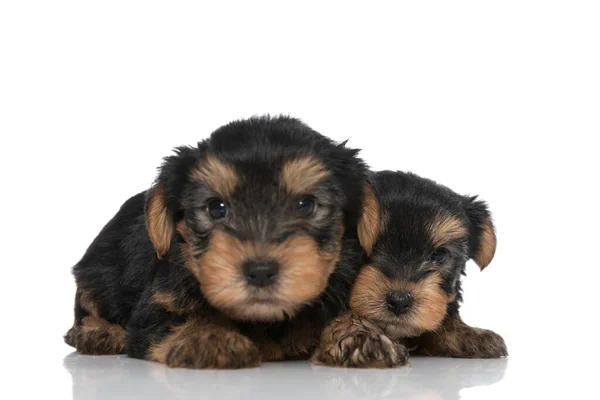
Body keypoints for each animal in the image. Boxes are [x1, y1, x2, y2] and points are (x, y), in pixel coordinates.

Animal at [62, 115, 390, 368]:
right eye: (216, 208)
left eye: (306, 205)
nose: (260, 271)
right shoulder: (157, 304)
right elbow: (177, 319)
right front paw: (209, 337)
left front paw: (359, 335)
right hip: (93, 274)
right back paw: (98, 333)